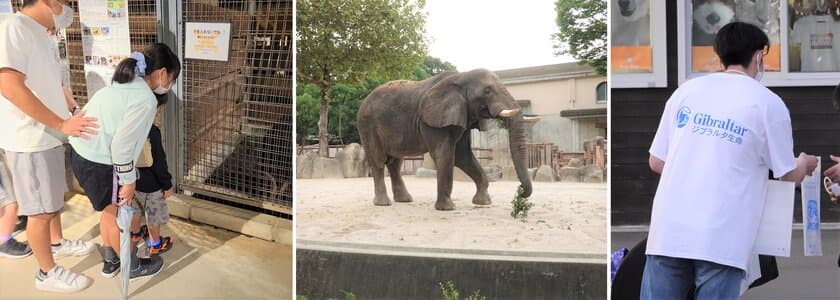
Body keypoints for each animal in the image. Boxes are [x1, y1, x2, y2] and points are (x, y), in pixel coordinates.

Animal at [356, 69, 532, 211]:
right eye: (487, 90)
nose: (520, 194)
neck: (461, 76)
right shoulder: (431, 120)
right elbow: (444, 154)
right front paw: (447, 208)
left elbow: (463, 155)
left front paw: (483, 202)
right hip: (367, 125)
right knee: (378, 161)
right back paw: (383, 203)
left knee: (395, 163)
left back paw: (404, 200)